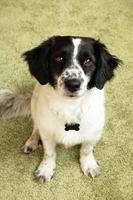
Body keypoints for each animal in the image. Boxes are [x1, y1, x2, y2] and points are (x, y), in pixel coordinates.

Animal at [0, 35, 121, 182]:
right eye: (59, 58)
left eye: (88, 61)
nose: (73, 84)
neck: (70, 106)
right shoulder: (47, 132)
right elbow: (49, 152)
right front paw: (46, 169)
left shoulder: (94, 130)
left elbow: (86, 149)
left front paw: (89, 165)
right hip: (35, 104)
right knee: (36, 128)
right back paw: (32, 141)